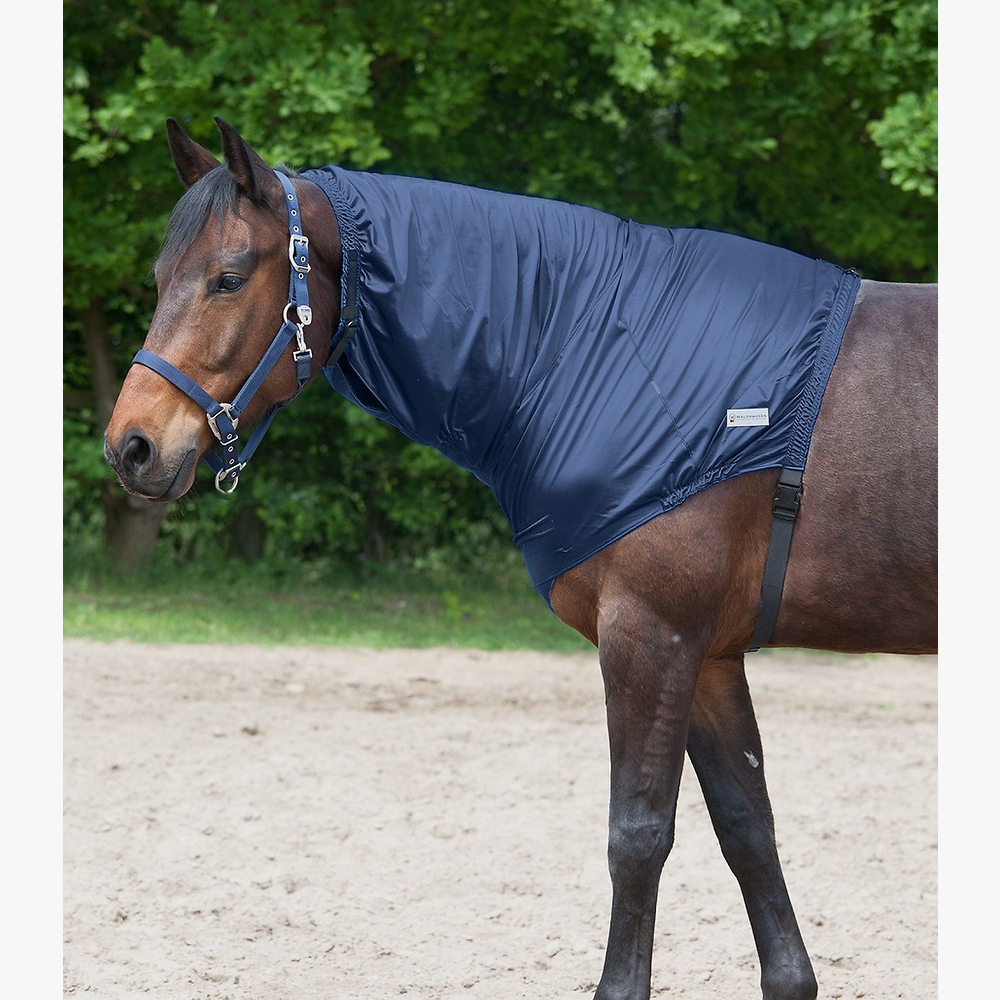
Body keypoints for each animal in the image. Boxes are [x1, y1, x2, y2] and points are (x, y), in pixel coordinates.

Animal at [104, 118, 937, 1000]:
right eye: (160, 277)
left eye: (228, 278)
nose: (132, 446)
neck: (594, 344)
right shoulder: (709, 654)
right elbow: (748, 829)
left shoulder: (653, 638)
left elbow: (638, 836)